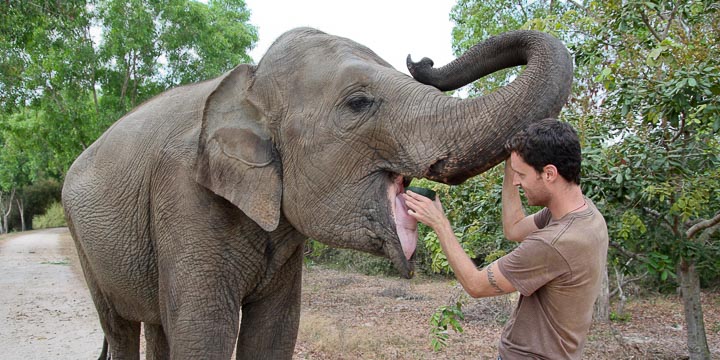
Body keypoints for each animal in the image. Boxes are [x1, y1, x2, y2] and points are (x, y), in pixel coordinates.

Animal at [62, 26, 572, 358]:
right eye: (359, 103)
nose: (421, 61)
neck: (251, 86)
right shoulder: (184, 197)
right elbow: (203, 332)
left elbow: (274, 333)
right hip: (84, 240)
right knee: (120, 327)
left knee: (153, 325)